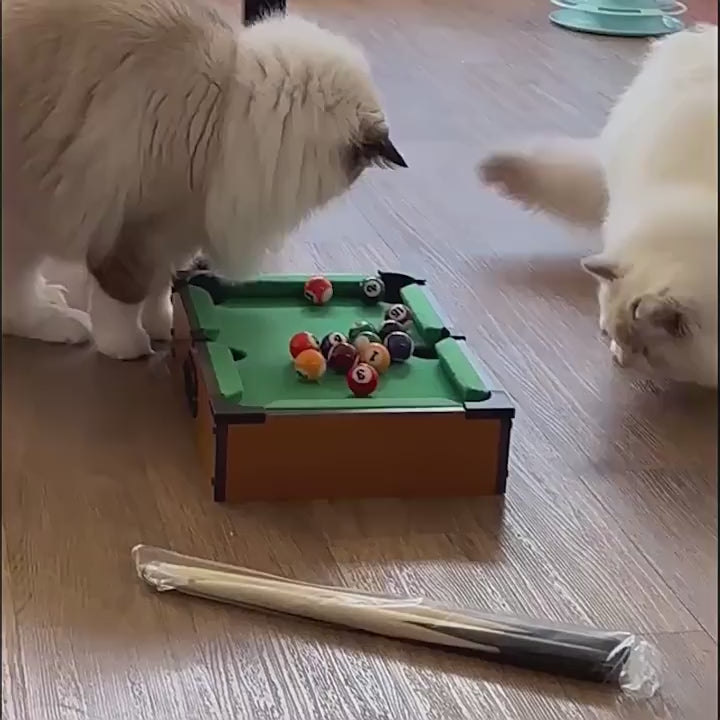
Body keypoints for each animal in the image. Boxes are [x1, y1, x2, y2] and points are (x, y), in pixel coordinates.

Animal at [2, 0, 406, 359]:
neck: (227, 114)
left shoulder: (174, 233)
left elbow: (159, 290)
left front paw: (165, 327)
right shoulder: (132, 230)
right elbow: (125, 300)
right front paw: (129, 347)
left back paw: (52, 296)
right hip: (26, 220)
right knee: (16, 301)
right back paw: (63, 322)